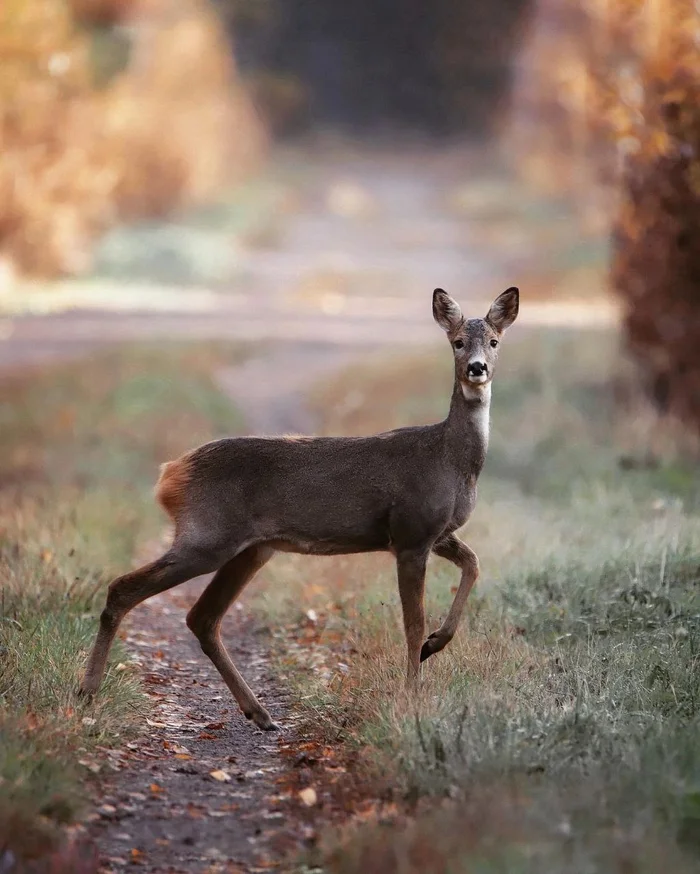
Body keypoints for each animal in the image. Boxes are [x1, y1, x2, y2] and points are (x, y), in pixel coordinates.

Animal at [82, 286, 520, 728]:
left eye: (495, 342)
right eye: (457, 342)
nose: (477, 369)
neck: (451, 462)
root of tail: (169, 474)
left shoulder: (439, 533)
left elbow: (473, 564)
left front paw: (436, 644)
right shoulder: (411, 532)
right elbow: (413, 622)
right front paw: (413, 693)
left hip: (252, 548)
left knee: (201, 617)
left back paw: (259, 712)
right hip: (206, 535)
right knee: (124, 588)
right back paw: (88, 694)